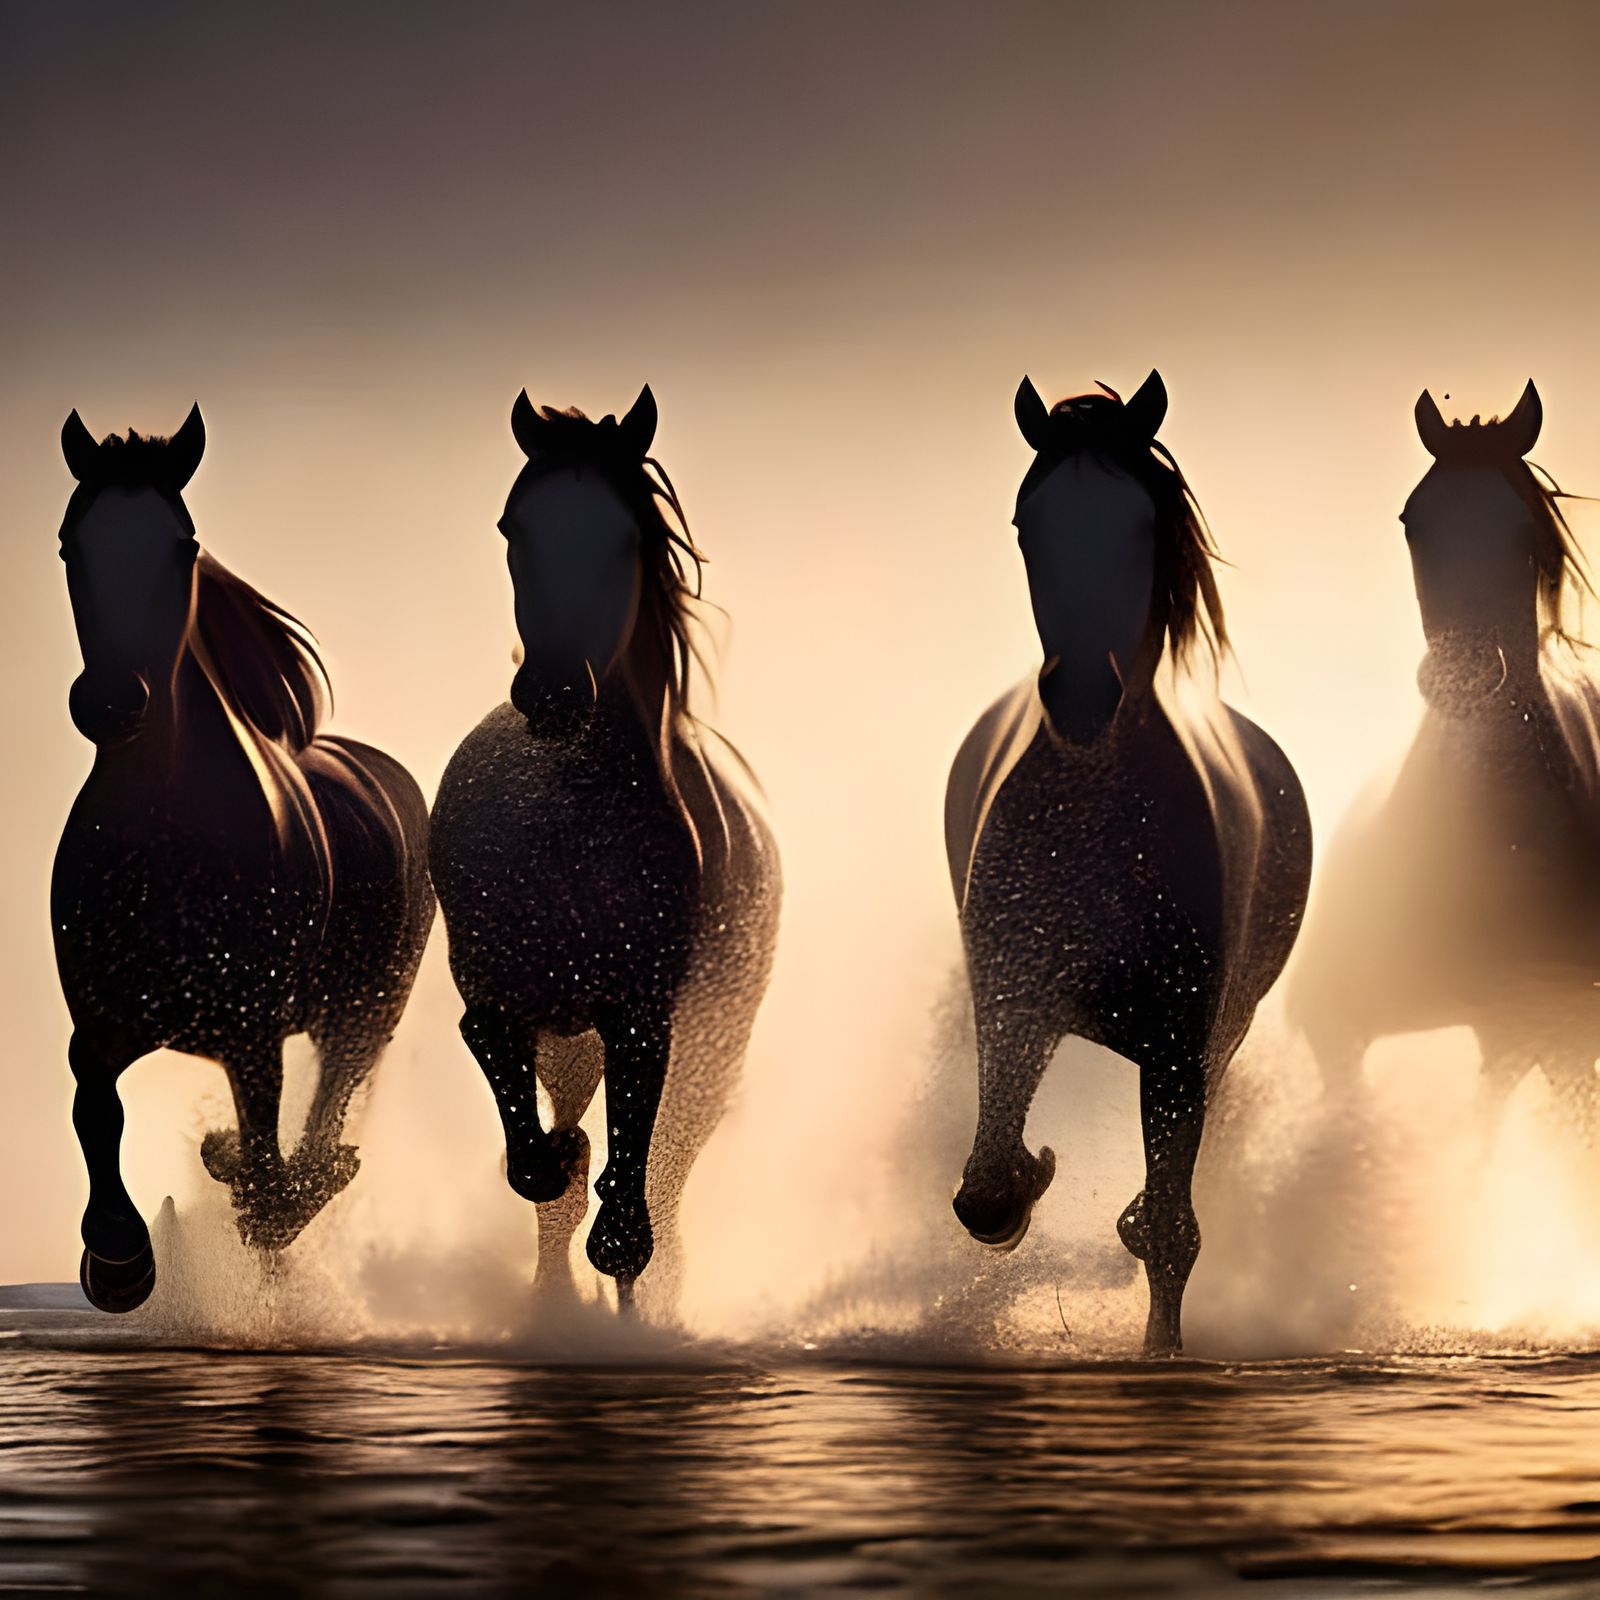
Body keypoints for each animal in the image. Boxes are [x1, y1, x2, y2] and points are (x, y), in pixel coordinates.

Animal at [53, 406, 435, 1312]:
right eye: (71, 542)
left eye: (181, 543)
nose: (111, 703)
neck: (167, 842)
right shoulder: (105, 1017)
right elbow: (94, 1103)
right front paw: (120, 1261)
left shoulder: (253, 1030)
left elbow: (268, 1156)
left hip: (362, 1013)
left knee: (323, 1117)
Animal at [429, 386, 780, 1312]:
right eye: (514, 525)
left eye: (625, 537)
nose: (552, 692)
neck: (571, 822)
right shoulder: (498, 993)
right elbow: (535, 1152)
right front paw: (557, 1164)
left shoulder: (644, 1017)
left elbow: (627, 1216)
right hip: (572, 1042)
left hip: (709, 1051)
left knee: (664, 1186)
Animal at [945, 372, 1312, 1355]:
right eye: (1028, 522)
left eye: (1141, 524)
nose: (1081, 695)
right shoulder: (1013, 997)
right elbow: (987, 1186)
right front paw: (1026, 1179)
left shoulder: (1181, 1043)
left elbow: (1175, 1231)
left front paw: (1161, 1352)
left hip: (1219, 1035)